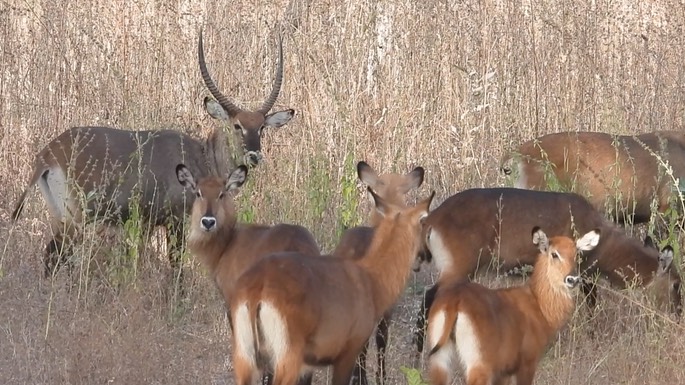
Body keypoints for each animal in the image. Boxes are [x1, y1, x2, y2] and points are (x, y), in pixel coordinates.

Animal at [10, 31, 294, 274]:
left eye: (262, 127)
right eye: (237, 125)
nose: (254, 156)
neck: (202, 156)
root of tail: (48, 153)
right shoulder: (176, 221)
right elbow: (175, 267)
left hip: (61, 216)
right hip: (74, 218)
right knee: (55, 256)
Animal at [228, 188, 432, 384]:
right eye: (423, 225)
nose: (427, 255)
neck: (370, 278)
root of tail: (258, 286)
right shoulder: (348, 355)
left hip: (245, 359)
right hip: (286, 359)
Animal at [414, 188, 680, 356]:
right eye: (677, 283)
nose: (678, 316)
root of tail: (432, 219)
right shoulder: (581, 275)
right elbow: (591, 304)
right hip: (458, 269)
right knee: (429, 299)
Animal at [428, 228, 600, 384]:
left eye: (576, 254)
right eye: (554, 254)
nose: (572, 279)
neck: (538, 303)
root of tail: (455, 300)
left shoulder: (504, 372)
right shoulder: (526, 364)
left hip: (440, 362)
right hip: (479, 366)